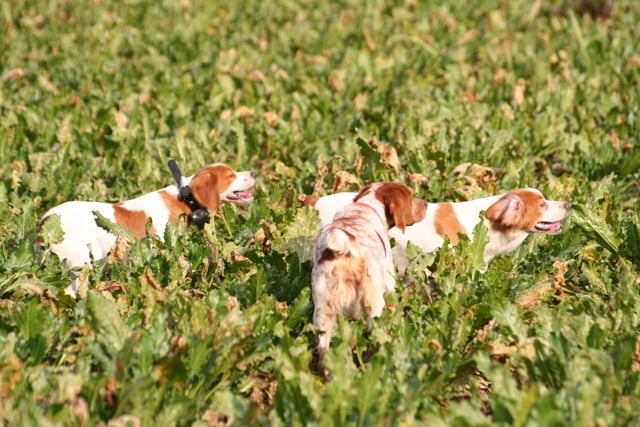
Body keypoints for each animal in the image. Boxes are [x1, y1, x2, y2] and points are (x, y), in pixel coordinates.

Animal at [311, 182, 427, 367]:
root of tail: (345, 248)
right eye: (411, 197)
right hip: (374, 303)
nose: (426, 203)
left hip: (323, 312)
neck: (367, 206)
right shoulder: (389, 281)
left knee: (324, 351)